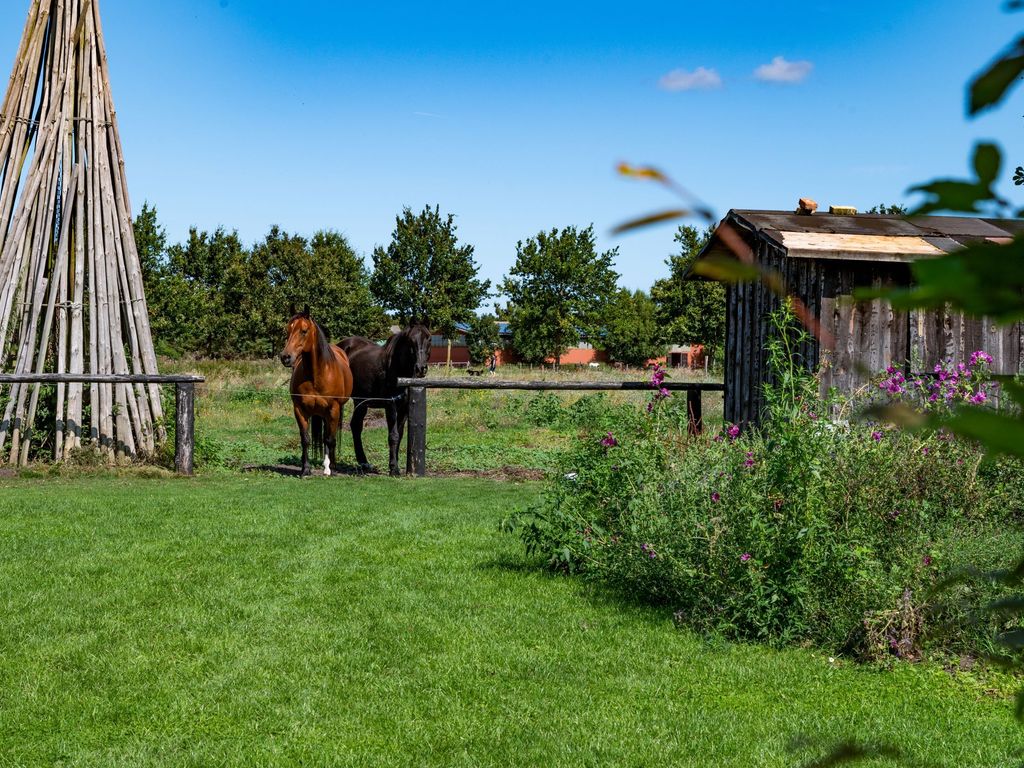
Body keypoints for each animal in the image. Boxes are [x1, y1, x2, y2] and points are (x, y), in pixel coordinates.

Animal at [280, 307, 353, 477]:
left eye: (304, 330)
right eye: (288, 330)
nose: (285, 357)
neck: (317, 374)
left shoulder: (333, 409)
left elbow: (330, 439)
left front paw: (331, 468)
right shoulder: (299, 410)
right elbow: (306, 439)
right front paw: (305, 469)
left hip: (332, 412)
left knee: (329, 437)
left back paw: (329, 466)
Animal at [336, 324, 431, 476]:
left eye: (429, 339)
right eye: (410, 340)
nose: (420, 368)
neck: (399, 371)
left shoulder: (404, 409)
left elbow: (399, 435)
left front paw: (394, 465)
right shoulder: (390, 405)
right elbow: (393, 436)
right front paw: (394, 469)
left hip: (360, 402)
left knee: (355, 426)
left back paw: (364, 462)